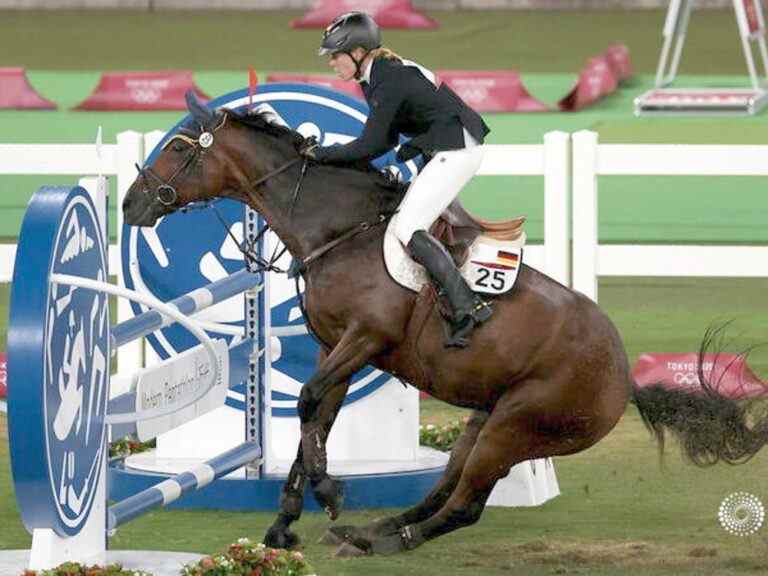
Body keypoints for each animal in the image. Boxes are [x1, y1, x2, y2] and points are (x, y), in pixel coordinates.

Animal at [121, 91, 768, 560]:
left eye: (176, 147)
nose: (130, 205)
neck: (338, 229)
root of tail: (624, 378)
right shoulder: (337, 348)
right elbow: (316, 418)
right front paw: (285, 524)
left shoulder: (364, 339)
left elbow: (307, 403)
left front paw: (328, 494)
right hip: (485, 421)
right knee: (443, 490)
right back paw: (371, 531)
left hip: (516, 425)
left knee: (464, 506)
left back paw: (387, 540)